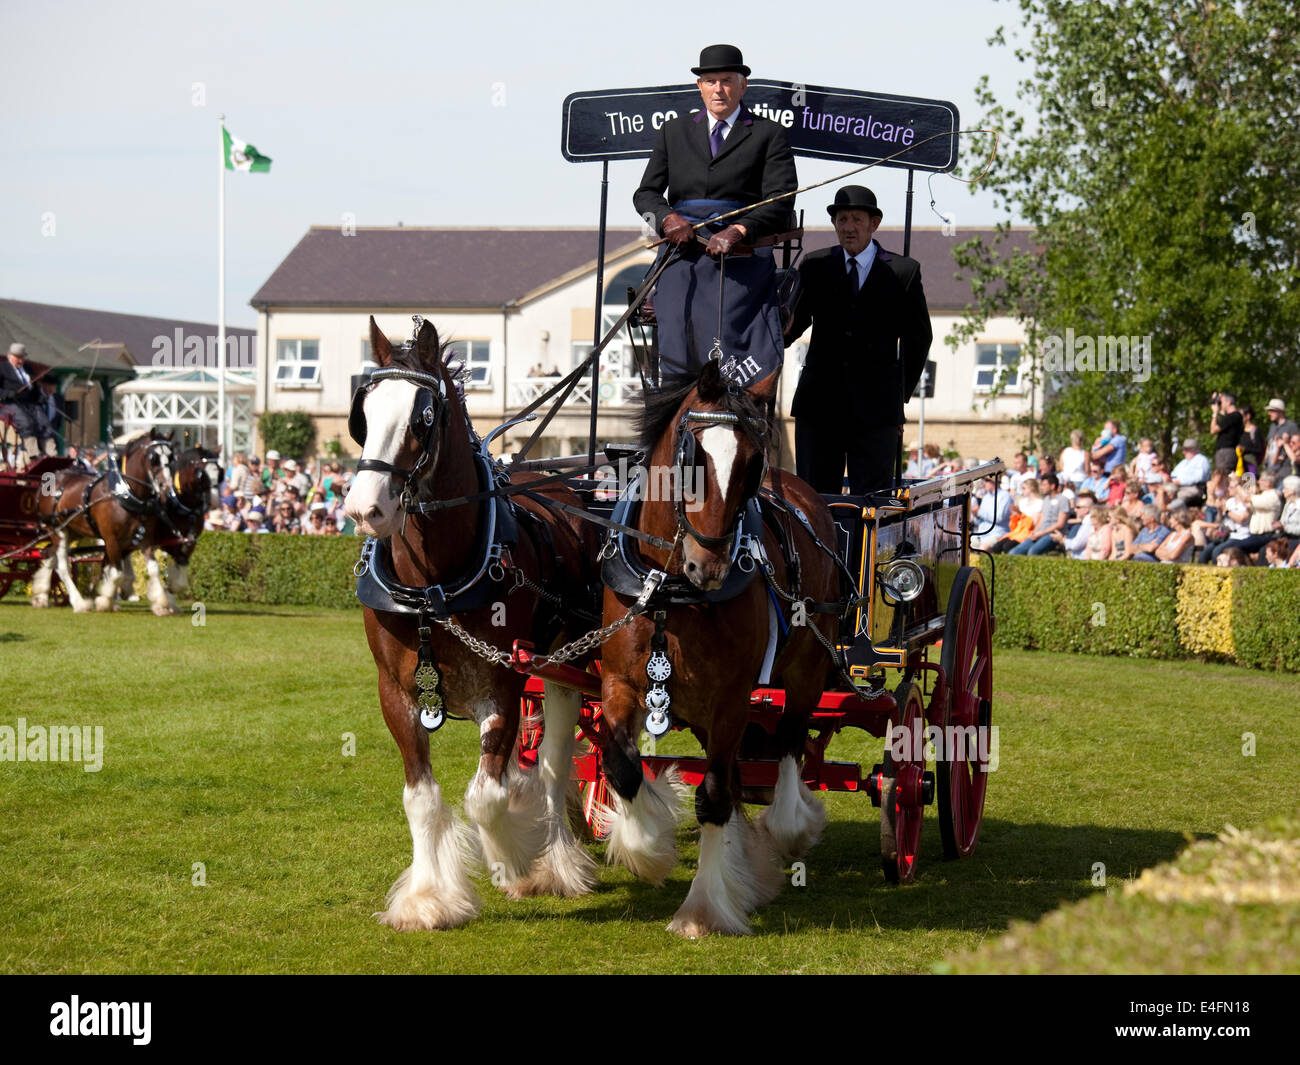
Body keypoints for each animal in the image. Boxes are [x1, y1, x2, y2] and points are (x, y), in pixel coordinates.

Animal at [32, 431, 171, 611]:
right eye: (154, 458)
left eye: (171, 456)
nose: (166, 486)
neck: (125, 493)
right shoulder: (111, 539)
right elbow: (117, 573)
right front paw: (105, 600)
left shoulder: (144, 538)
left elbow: (153, 568)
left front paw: (161, 603)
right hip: (58, 530)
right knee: (62, 566)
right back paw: (79, 602)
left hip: (72, 531)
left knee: (49, 555)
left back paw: (41, 596)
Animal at [598, 361, 842, 936]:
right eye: (692, 459)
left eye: (753, 463)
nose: (708, 568)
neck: (670, 593)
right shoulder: (620, 683)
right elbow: (623, 766)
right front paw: (648, 848)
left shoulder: (733, 697)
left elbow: (712, 797)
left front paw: (704, 907)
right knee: (731, 773)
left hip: (805, 669)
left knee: (788, 743)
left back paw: (787, 828)